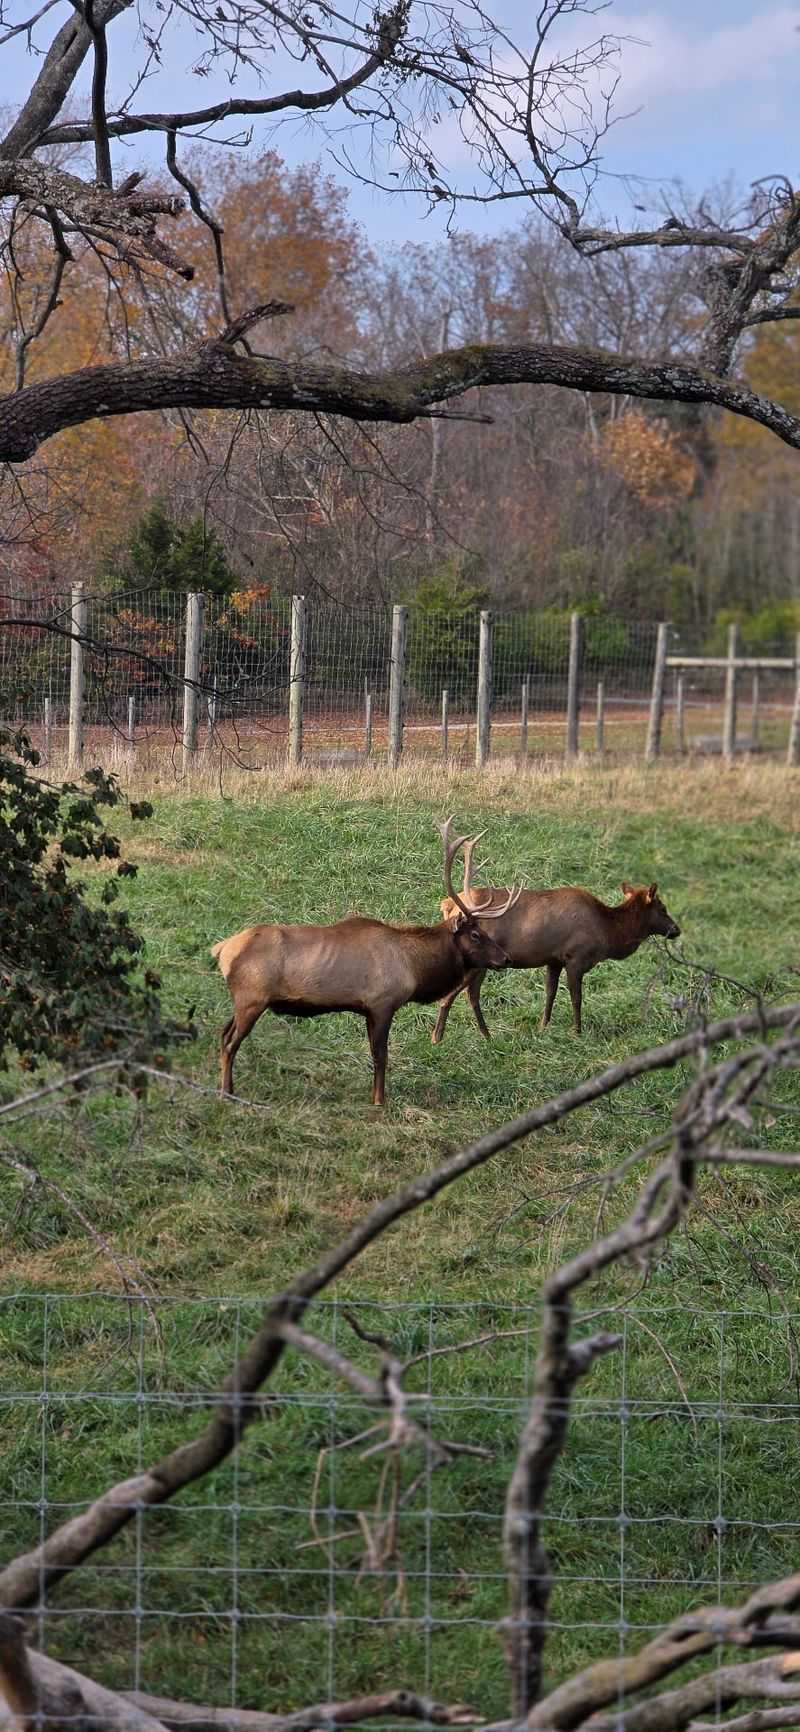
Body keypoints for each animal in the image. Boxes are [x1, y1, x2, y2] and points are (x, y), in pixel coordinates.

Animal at [211, 819, 520, 1106]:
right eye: (476, 934)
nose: (505, 957)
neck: (415, 968)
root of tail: (222, 950)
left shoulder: (367, 1009)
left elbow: (375, 1055)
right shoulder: (382, 1003)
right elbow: (381, 1056)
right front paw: (379, 1100)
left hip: (244, 1000)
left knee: (223, 1032)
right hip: (252, 997)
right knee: (230, 1042)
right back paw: (226, 1094)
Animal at [431, 837, 681, 1046]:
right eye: (663, 908)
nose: (676, 929)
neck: (608, 932)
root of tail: (448, 905)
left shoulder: (554, 959)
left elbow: (550, 993)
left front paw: (543, 1027)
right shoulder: (576, 957)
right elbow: (576, 998)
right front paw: (577, 1032)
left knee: (471, 994)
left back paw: (485, 1035)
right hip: (479, 959)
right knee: (458, 993)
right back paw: (439, 1037)